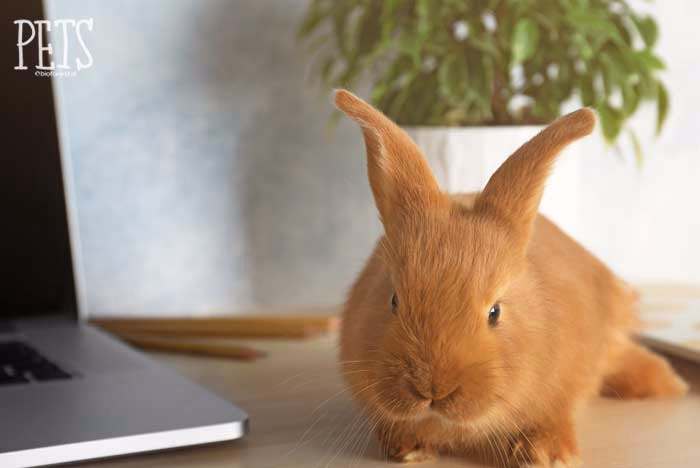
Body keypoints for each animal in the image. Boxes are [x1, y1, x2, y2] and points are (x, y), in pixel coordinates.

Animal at [334, 89, 688, 468]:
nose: (432, 389)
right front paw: (408, 448)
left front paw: (549, 455)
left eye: (495, 313)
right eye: (393, 301)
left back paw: (668, 384)